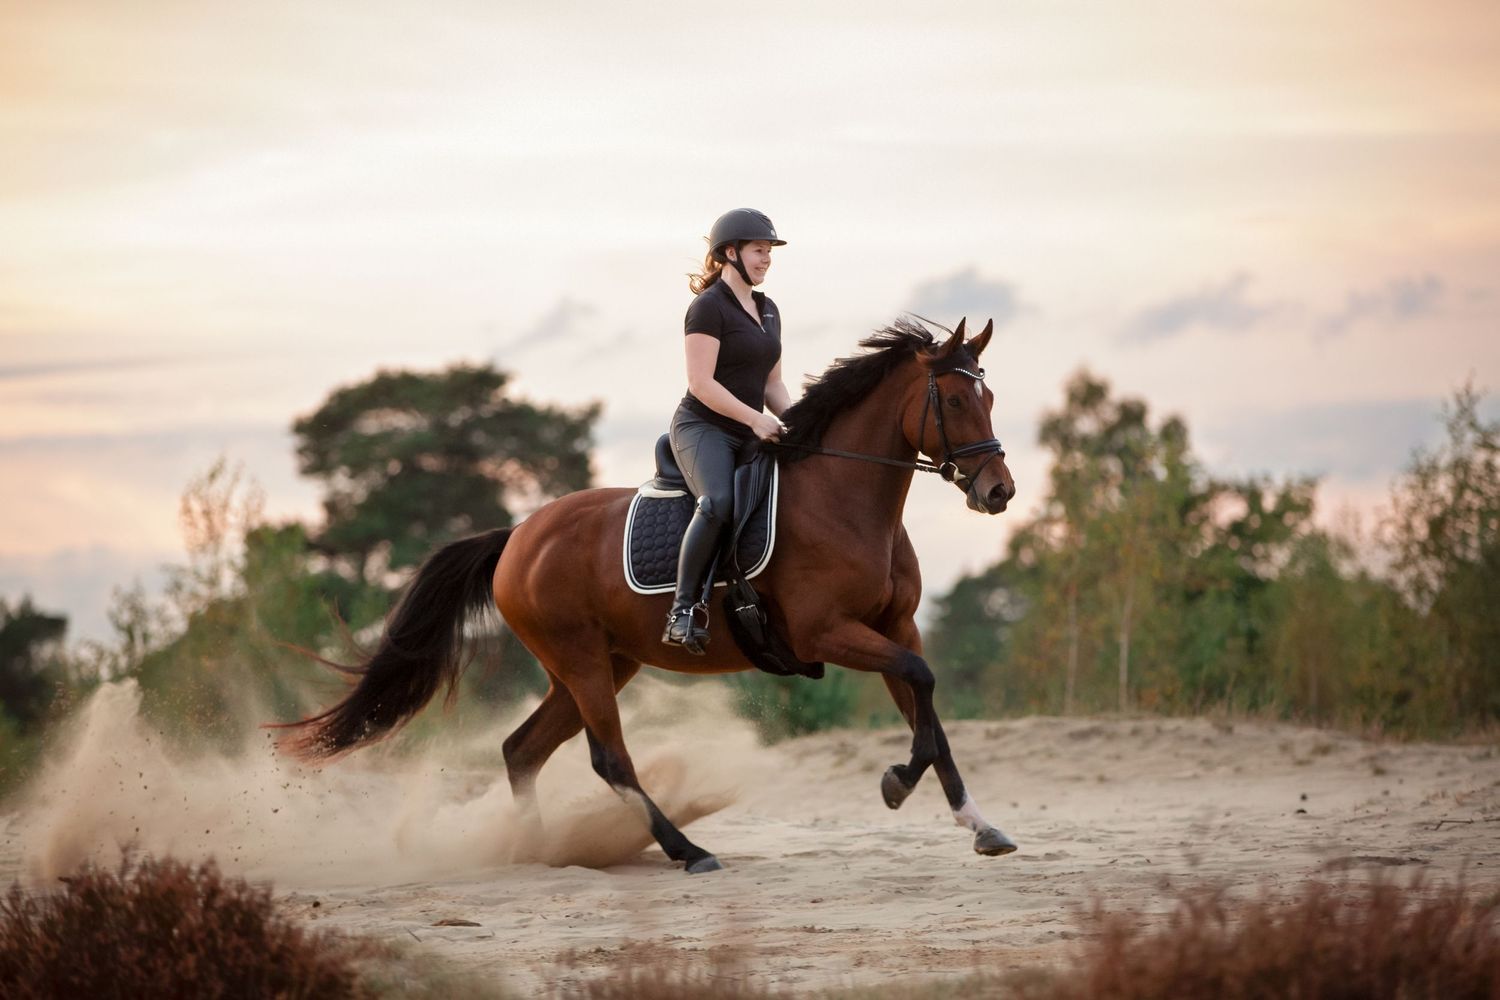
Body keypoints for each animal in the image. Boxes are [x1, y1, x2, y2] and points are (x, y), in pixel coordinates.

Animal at [280, 317, 1018, 874]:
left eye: (989, 399)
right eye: (954, 402)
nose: (998, 491)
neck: (847, 500)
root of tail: (518, 536)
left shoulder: (895, 627)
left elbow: (927, 706)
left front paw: (978, 824)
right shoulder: (828, 633)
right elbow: (921, 687)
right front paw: (896, 783)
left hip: (602, 664)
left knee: (522, 750)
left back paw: (536, 849)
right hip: (582, 662)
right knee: (609, 758)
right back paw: (686, 850)